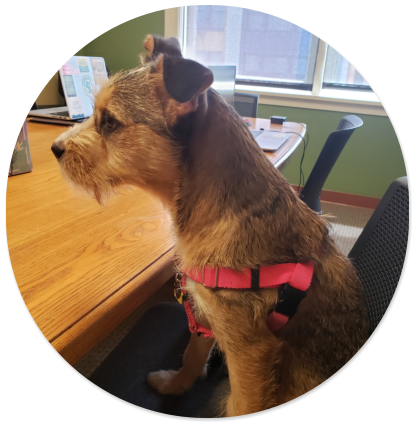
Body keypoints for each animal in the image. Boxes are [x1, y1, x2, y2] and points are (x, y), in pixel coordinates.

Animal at [51, 34, 368, 418]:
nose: (55, 148)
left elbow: (243, 401)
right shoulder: (203, 313)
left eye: (109, 122)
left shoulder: (250, 350)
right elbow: (193, 352)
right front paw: (176, 385)